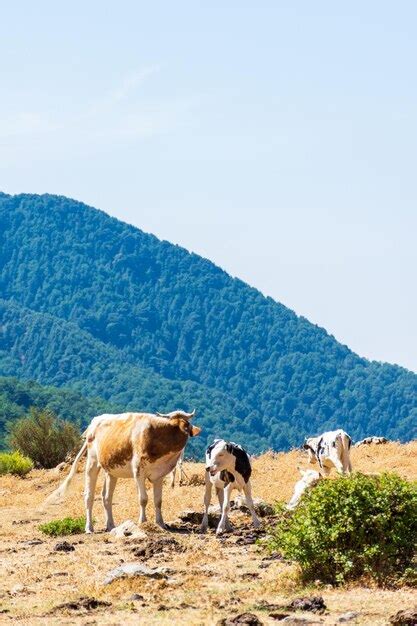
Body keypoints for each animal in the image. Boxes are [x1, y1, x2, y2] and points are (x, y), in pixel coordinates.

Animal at [46, 410, 200, 532]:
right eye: (176, 425)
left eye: (187, 424)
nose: (186, 432)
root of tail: (94, 423)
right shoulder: (138, 471)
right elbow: (143, 499)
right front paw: (143, 521)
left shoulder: (158, 476)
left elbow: (158, 501)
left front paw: (161, 523)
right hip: (92, 463)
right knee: (89, 496)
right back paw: (89, 528)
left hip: (111, 471)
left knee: (106, 498)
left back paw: (110, 525)